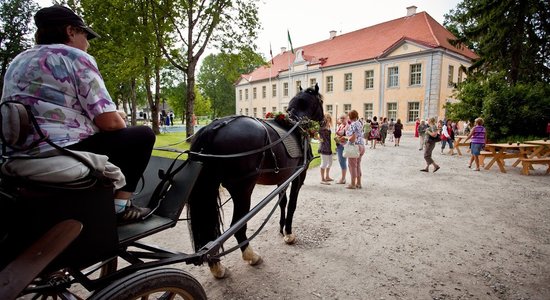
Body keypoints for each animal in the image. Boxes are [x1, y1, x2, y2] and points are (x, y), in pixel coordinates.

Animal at [190, 83, 328, 278]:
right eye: (321, 101)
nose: (325, 122)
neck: (295, 124)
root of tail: (213, 128)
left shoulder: (283, 178)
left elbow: (282, 202)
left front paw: (281, 228)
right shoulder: (298, 177)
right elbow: (292, 205)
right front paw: (289, 233)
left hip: (210, 188)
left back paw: (216, 266)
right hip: (243, 190)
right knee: (238, 227)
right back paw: (251, 255)